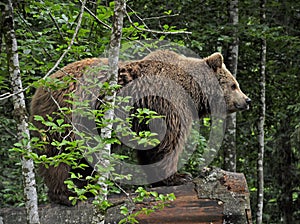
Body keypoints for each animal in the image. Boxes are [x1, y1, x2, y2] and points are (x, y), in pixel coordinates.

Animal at [30, 50, 251, 206]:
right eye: (234, 84)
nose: (247, 100)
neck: (194, 91)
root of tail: (41, 87)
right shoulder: (168, 105)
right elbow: (169, 142)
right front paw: (179, 176)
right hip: (68, 116)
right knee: (60, 154)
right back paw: (66, 194)